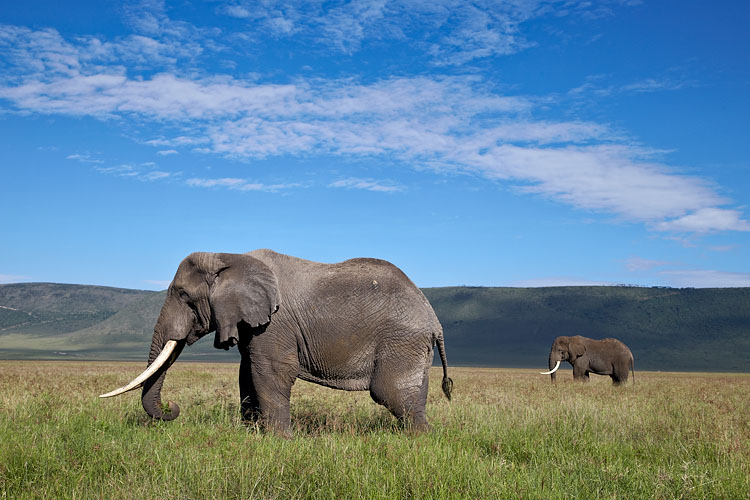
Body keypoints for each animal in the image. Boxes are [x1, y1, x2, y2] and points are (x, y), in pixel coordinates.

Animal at [101, 249, 453, 434]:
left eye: (184, 296)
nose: (172, 407)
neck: (229, 258)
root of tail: (434, 320)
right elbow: (247, 374)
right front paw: (250, 434)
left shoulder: (275, 323)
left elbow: (270, 373)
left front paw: (280, 441)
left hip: (401, 339)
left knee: (392, 394)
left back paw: (417, 442)